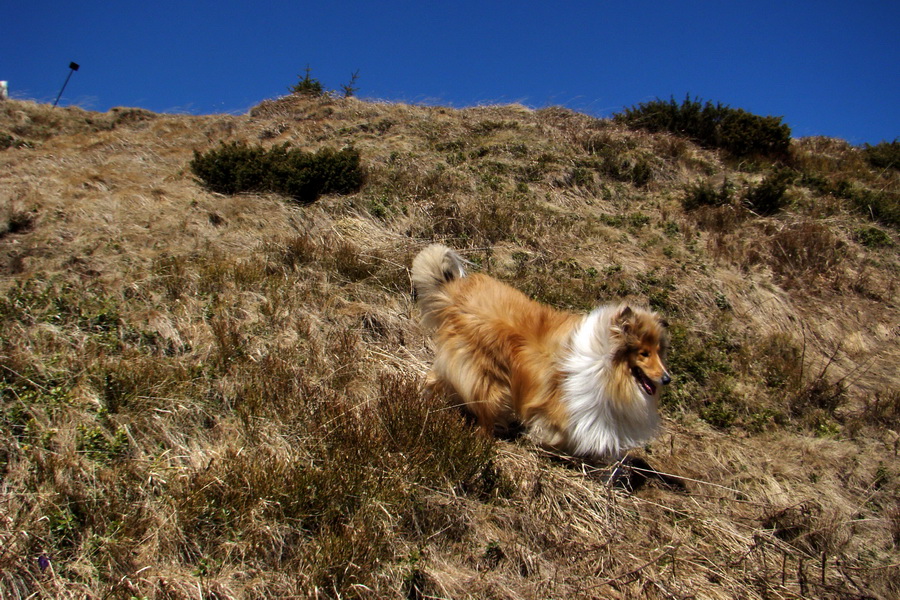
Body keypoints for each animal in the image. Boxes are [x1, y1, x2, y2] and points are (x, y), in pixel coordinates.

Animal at [412, 244, 672, 460]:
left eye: (658, 352)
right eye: (643, 353)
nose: (667, 379)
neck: (607, 367)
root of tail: (457, 293)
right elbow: (557, 434)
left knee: (435, 378)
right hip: (487, 380)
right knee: (483, 411)